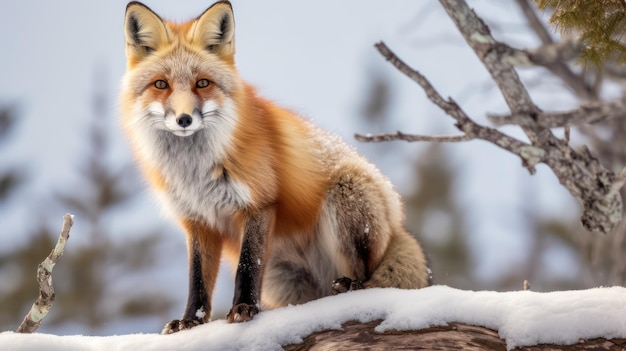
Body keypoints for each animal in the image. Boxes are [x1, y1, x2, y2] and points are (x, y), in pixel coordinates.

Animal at [119, 0, 428, 336]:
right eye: (161, 84)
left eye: (202, 83)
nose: (184, 119)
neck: (194, 171)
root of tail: (399, 227)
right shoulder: (198, 220)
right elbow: (197, 280)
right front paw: (191, 321)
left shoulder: (258, 203)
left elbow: (247, 266)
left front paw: (244, 309)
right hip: (284, 279)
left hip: (347, 193)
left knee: (369, 276)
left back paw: (352, 285)